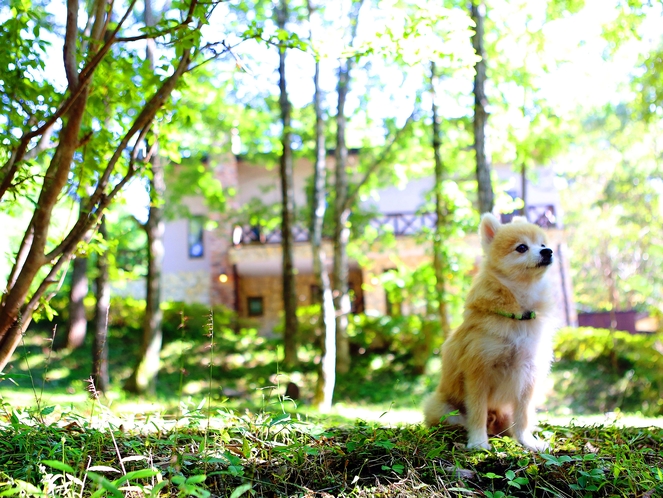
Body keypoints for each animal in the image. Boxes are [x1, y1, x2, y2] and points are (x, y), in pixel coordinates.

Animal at [426, 213, 556, 452]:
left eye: (542, 244)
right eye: (521, 247)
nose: (548, 251)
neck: (518, 315)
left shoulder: (528, 375)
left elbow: (523, 416)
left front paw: (527, 441)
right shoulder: (479, 372)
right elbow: (477, 412)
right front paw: (478, 442)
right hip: (444, 409)